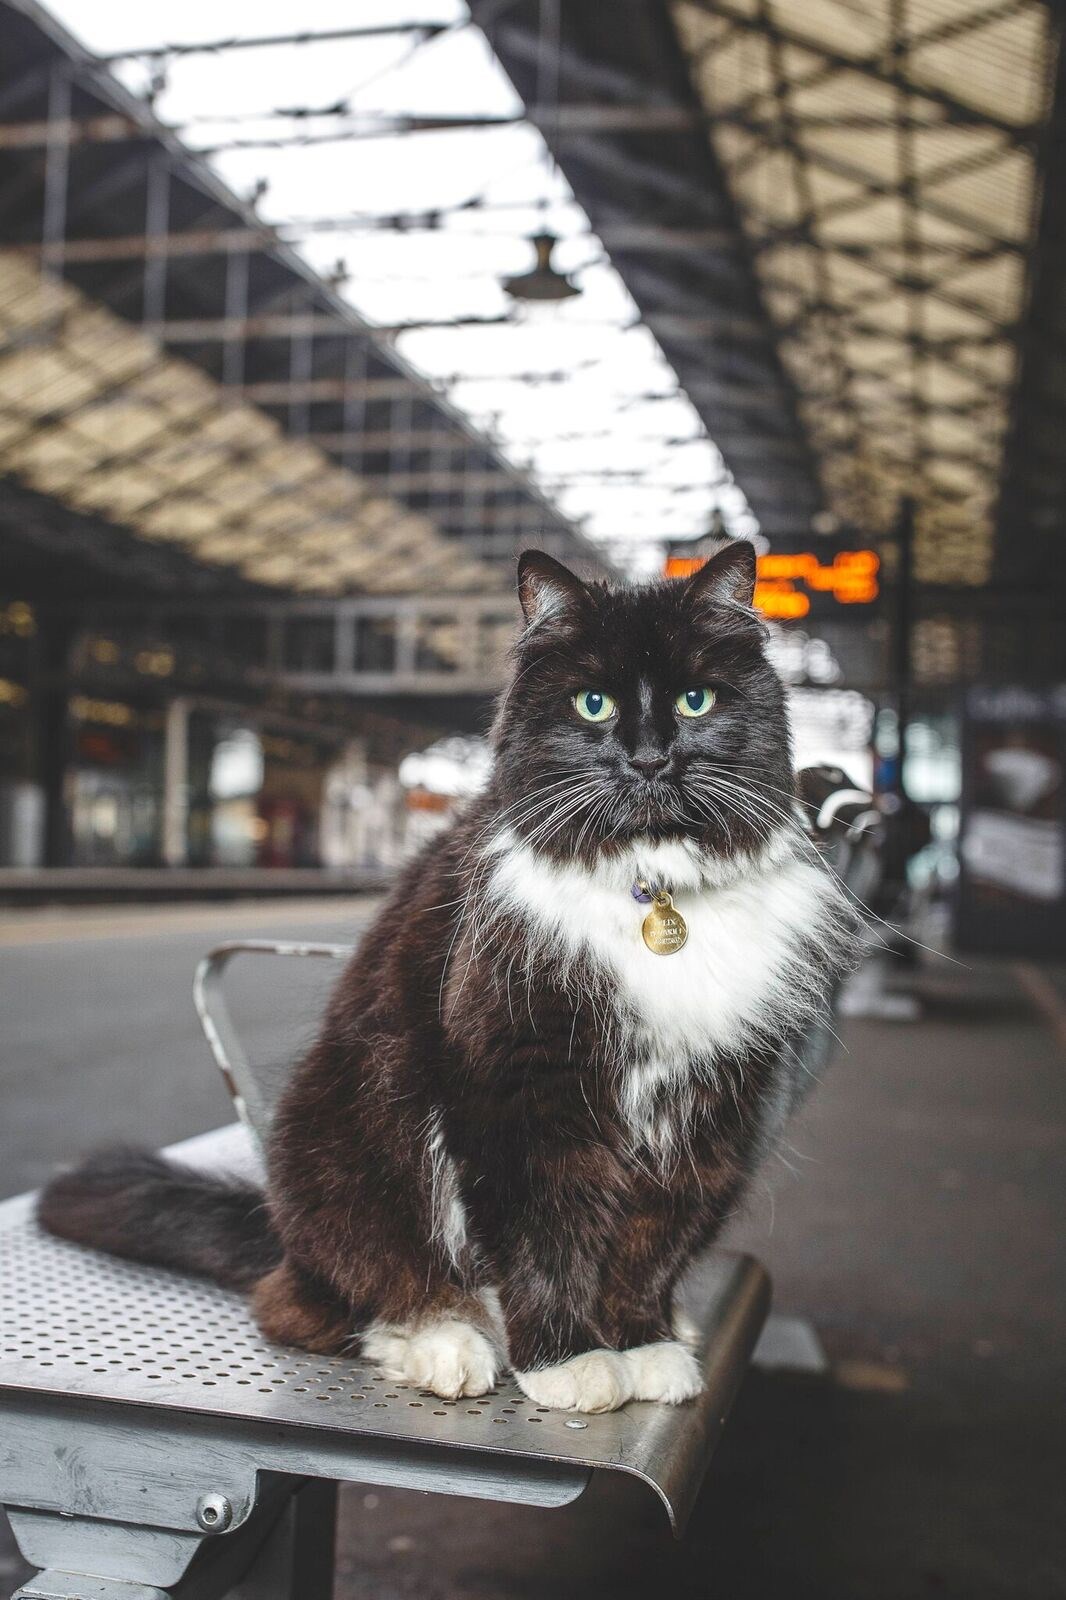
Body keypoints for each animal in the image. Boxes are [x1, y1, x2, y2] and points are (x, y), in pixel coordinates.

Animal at [39, 547, 857, 1414]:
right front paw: (567, 1358)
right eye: (593, 704)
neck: (651, 888)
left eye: (696, 699)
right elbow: (543, 1233)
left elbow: (652, 1237)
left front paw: (643, 1341)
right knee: (325, 1301)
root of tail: (284, 1238)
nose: (649, 758)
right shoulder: (515, 1085)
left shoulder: (713, 1106)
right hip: (354, 1132)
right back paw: (446, 1340)